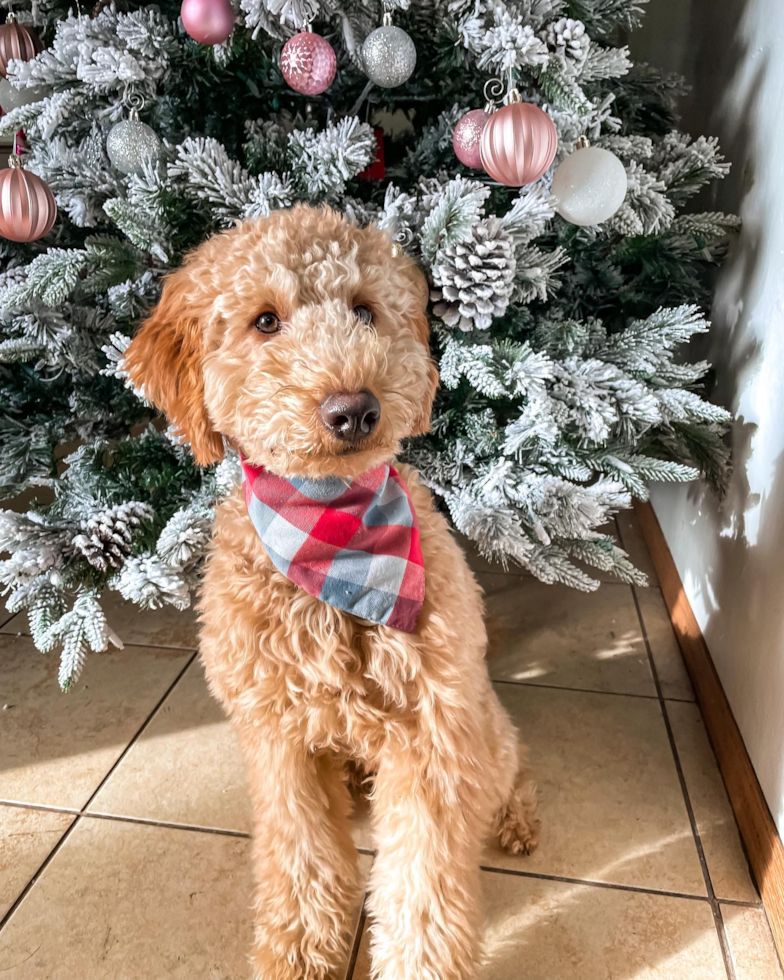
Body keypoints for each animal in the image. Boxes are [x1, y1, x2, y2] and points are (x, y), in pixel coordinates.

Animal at [124, 207, 540, 980]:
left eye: (365, 310)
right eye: (264, 321)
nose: (353, 409)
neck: (332, 541)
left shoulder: (432, 739)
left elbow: (423, 888)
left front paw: (417, 967)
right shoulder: (280, 743)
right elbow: (302, 859)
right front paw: (298, 952)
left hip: (479, 721)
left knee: (509, 764)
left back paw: (517, 819)